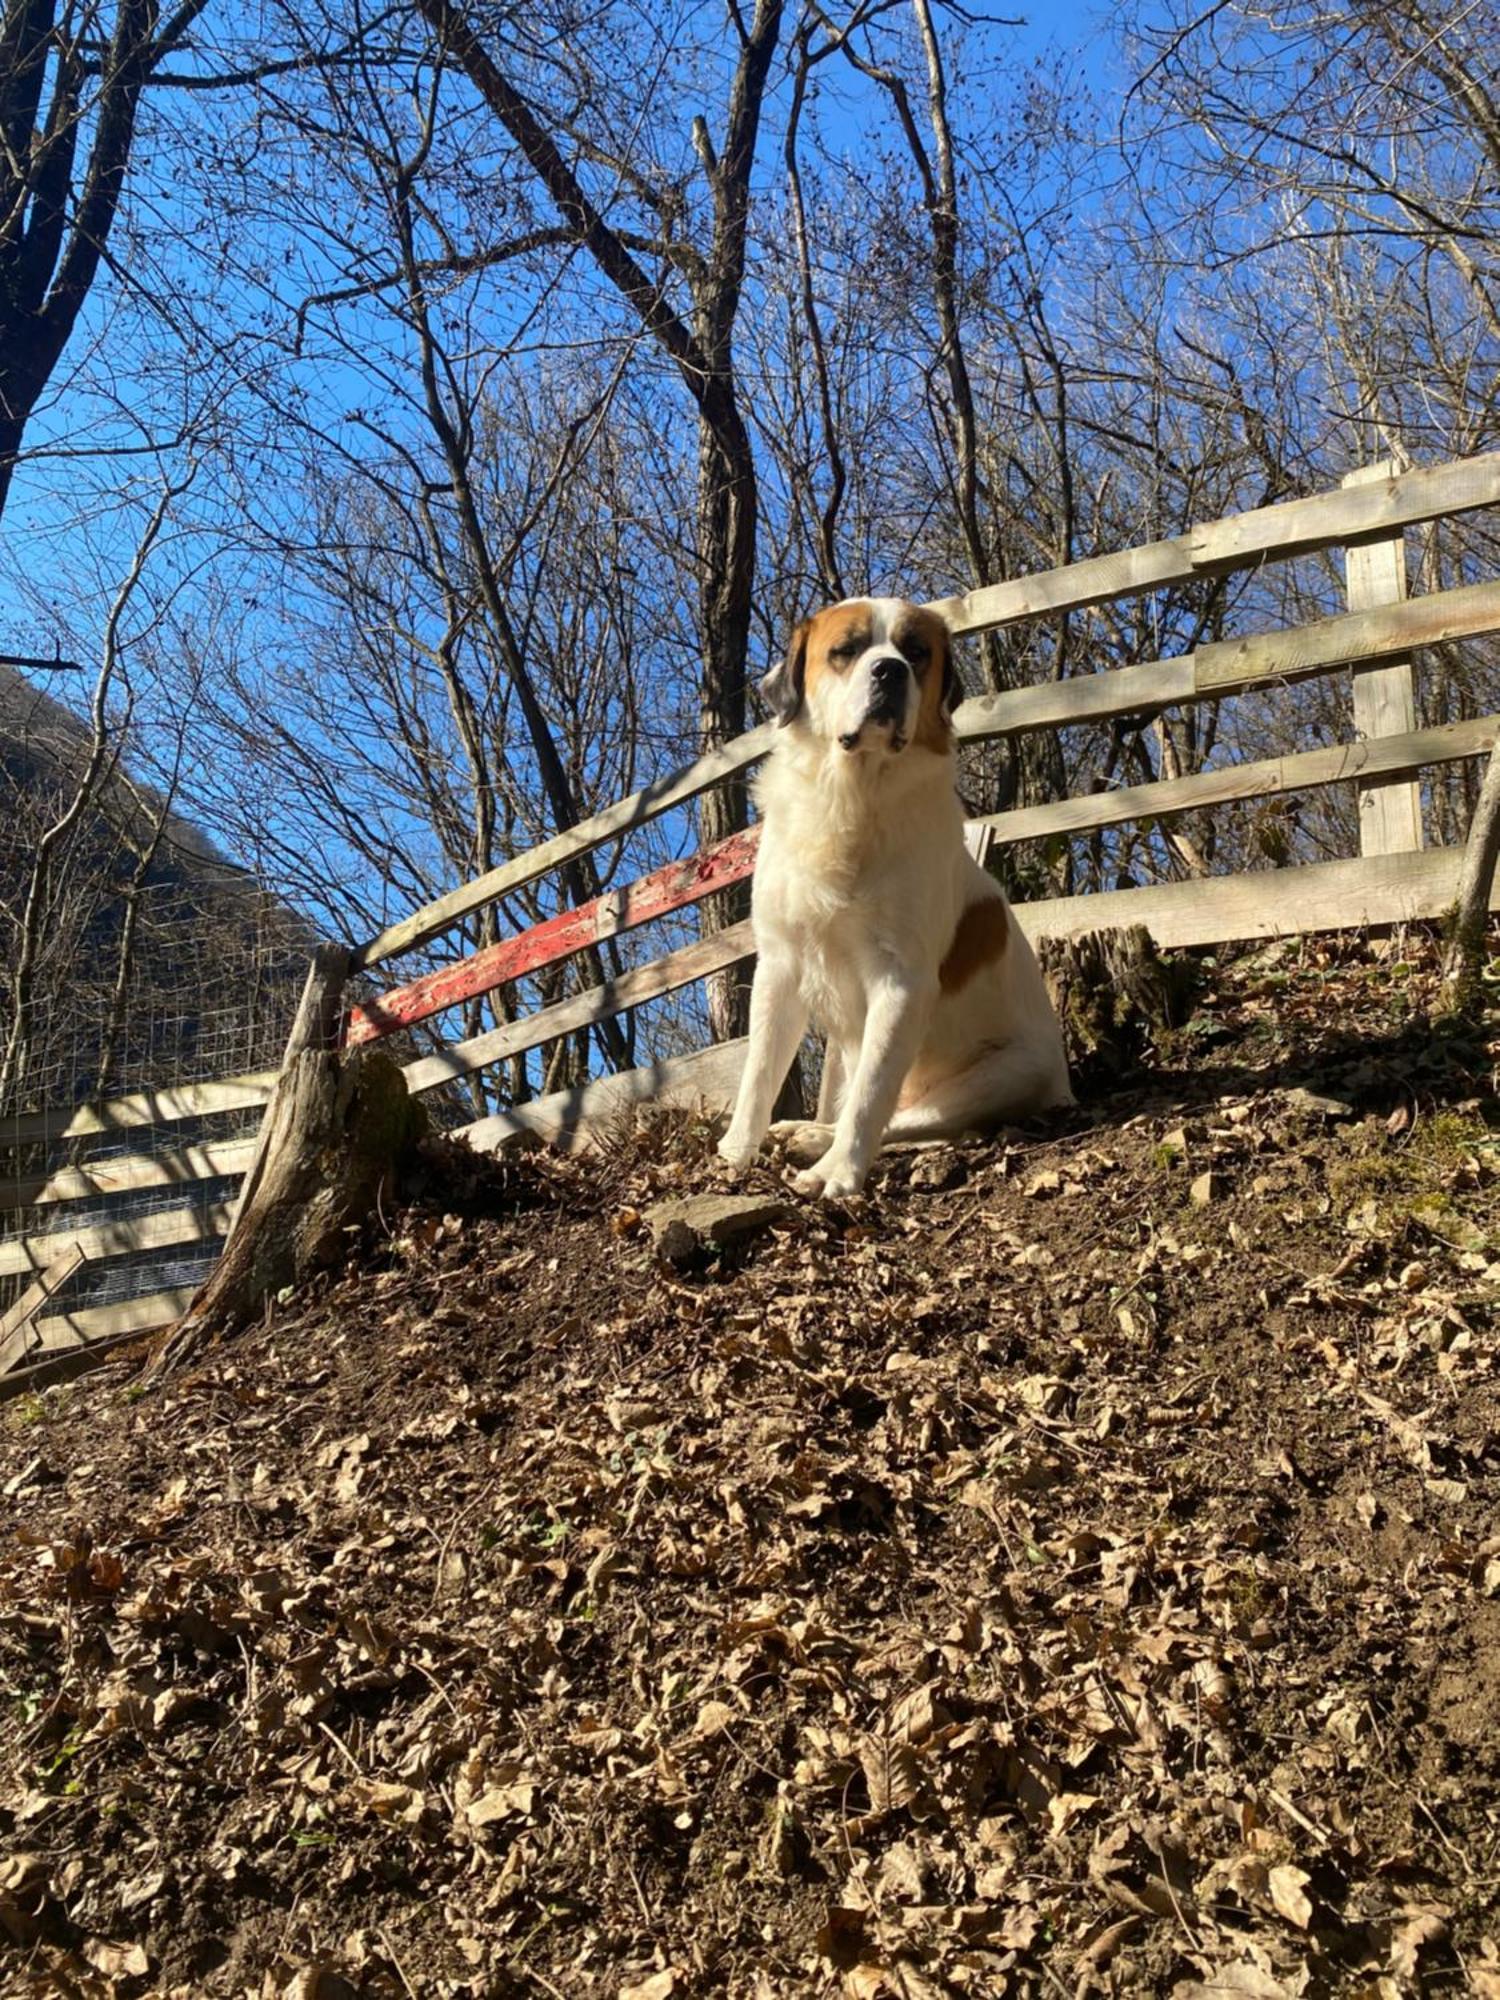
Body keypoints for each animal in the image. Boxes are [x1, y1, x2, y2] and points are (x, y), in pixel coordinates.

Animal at [724, 588, 1072, 1184]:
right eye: (846, 650)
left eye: (917, 652)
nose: (890, 670)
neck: (850, 797)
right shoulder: (780, 964)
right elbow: (758, 1072)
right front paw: (733, 1153)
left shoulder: (901, 980)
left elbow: (872, 1093)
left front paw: (838, 1175)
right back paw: (806, 1133)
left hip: (1012, 1070)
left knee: (906, 1117)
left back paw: (822, 1145)